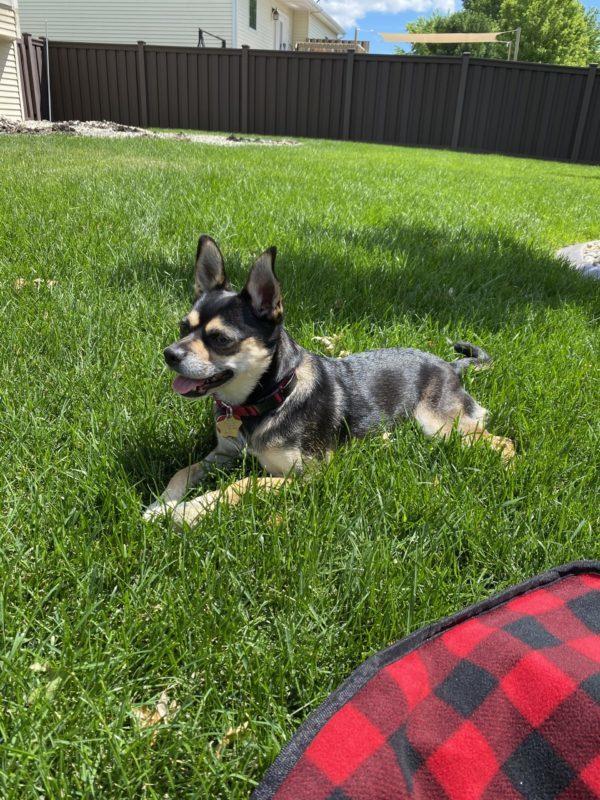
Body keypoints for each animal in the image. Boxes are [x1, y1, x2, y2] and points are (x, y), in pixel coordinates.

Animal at [145, 236, 516, 524]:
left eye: (221, 339)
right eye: (183, 327)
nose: (169, 354)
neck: (268, 397)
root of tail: (450, 366)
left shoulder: (305, 475)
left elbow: (242, 483)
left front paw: (188, 511)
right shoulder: (223, 453)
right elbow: (184, 470)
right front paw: (160, 505)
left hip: (442, 426)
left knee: (503, 441)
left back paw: (509, 466)